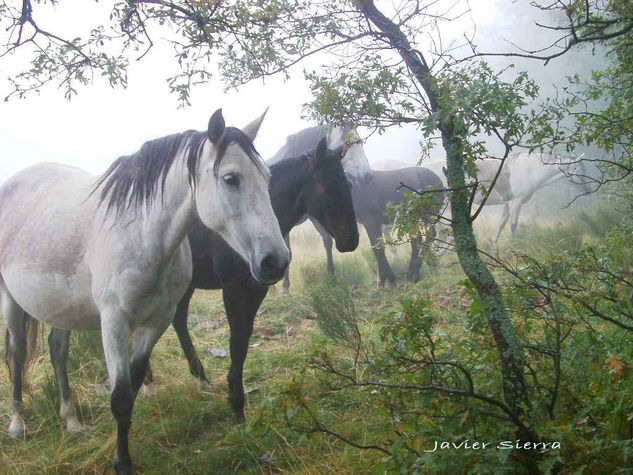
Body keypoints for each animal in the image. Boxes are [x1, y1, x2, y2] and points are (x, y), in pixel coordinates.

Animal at [1, 109, 288, 474]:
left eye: (267, 177)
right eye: (230, 178)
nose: (275, 261)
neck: (141, 233)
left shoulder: (156, 322)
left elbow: (134, 388)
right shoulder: (114, 323)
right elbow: (120, 397)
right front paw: (122, 464)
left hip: (60, 307)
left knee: (58, 353)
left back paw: (71, 421)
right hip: (11, 300)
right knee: (18, 353)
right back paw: (17, 422)